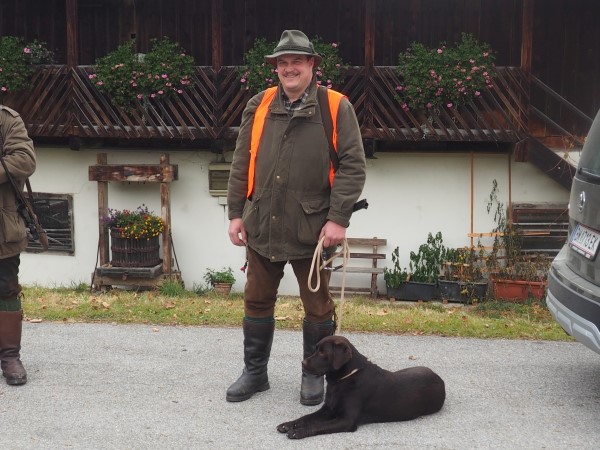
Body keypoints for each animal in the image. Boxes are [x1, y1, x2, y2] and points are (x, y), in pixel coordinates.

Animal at [277, 335, 445, 439]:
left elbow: (319, 425)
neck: (343, 379)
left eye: (323, 353)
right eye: (316, 349)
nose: (303, 363)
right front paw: (288, 425)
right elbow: (306, 417)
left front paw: (298, 431)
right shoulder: (327, 409)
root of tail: (439, 378)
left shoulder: (347, 420)